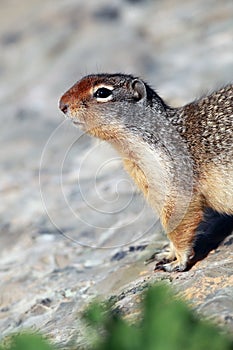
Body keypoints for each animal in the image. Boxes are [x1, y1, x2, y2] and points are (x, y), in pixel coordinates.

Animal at [58, 73, 233, 270]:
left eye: (102, 92)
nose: (61, 104)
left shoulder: (175, 181)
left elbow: (177, 224)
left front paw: (178, 262)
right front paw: (167, 254)